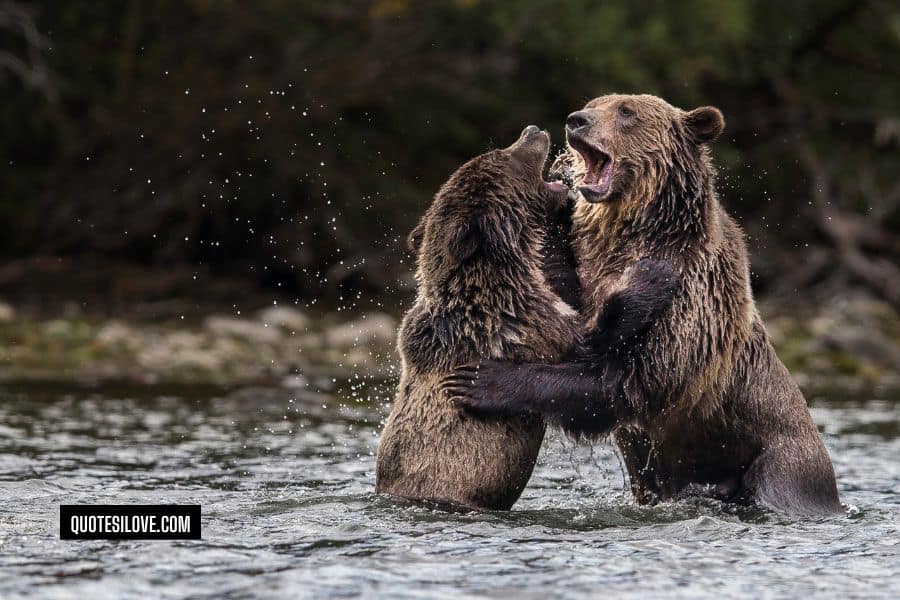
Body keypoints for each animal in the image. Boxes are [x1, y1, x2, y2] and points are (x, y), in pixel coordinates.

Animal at [442, 94, 842, 516]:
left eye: (626, 112)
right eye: (594, 103)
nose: (576, 120)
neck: (637, 234)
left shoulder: (694, 293)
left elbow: (633, 377)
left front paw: (483, 381)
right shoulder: (588, 276)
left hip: (778, 460)